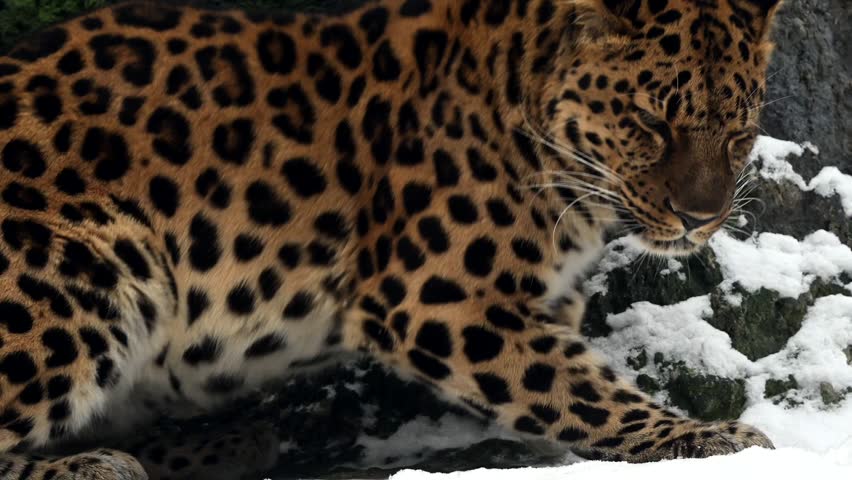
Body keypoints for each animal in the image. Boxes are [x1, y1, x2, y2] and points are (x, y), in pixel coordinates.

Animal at [0, 0, 783, 478]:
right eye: (650, 123)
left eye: (739, 132)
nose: (700, 218)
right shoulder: (439, 299)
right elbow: (577, 389)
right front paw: (706, 438)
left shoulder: (539, 305)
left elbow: (568, 379)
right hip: (80, 265)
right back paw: (97, 462)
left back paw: (223, 442)